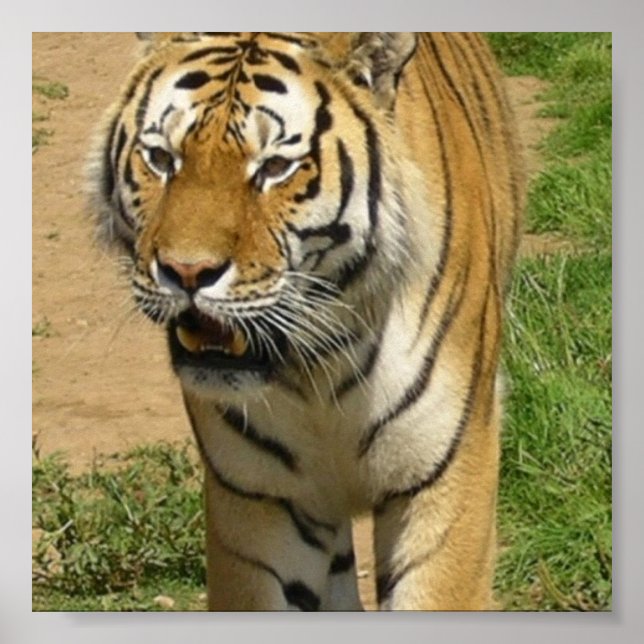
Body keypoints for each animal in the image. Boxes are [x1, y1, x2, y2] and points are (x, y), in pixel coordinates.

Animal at [88, 32, 524, 611]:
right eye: (161, 159)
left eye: (274, 168)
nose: (186, 272)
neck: (320, 359)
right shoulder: (257, 496)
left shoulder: (444, 472)